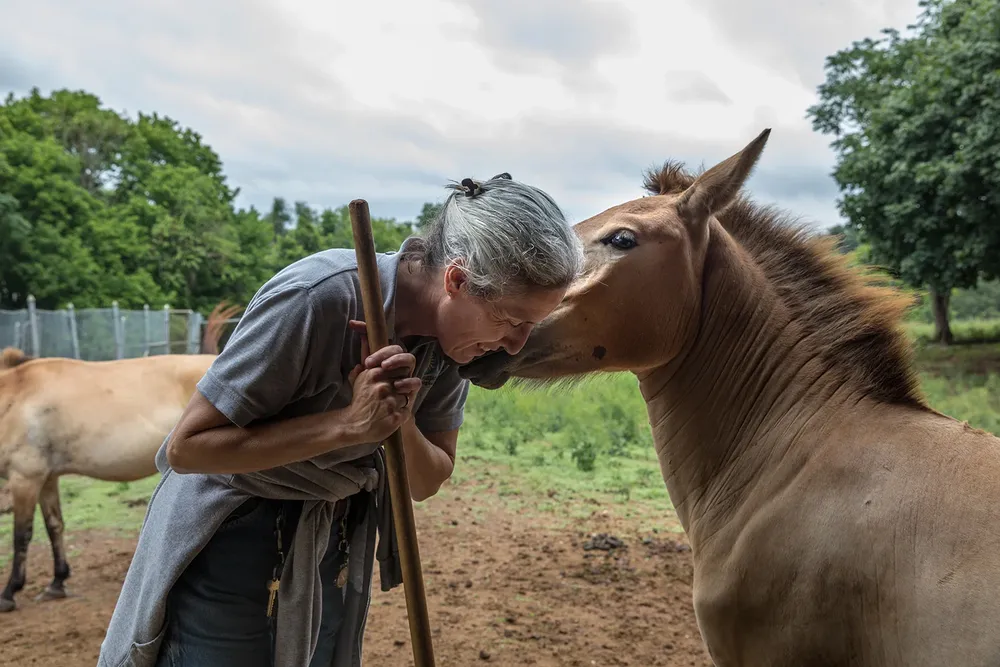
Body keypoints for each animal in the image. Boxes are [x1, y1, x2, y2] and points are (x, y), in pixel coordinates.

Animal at [0, 302, 242, 612]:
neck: (15, 397)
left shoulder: (24, 477)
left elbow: (21, 535)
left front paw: (9, 592)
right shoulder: (46, 478)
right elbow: (55, 526)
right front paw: (57, 582)